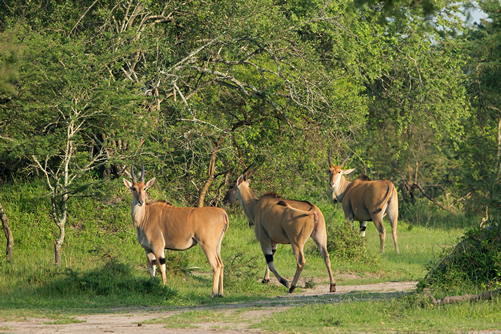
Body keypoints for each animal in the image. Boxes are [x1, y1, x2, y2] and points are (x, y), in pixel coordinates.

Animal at [123, 164, 229, 298]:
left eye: (145, 188)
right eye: (133, 188)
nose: (140, 202)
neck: (144, 217)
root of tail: (222, 213)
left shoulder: (158, 247)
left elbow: (162, 268)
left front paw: (164, 288)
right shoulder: (148, 249)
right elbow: (152, 268)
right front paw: (152, 285)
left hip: (207, 245)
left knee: (215, 266)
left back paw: (213, 293)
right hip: (217, 246)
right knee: (222, 264)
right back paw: (221, 293)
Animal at [224, 163, 336, 294]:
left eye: (231, 186)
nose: (224, 200)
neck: (256, 206)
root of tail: (313, 210)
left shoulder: (264, 240)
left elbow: (270, 263)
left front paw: (284, 282)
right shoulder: (274, 242)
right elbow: (269, 260)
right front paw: (265, 279)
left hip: (296, 243)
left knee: (300, 262)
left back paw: (292, 287)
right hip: (320, 238)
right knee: (326, 257)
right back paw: (332, 285)